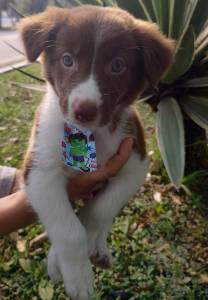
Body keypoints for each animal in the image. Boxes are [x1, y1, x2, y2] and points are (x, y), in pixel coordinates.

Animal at [18, 5, 174, 300]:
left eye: (117, 65)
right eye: (67, 59)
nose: (84, 111)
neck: (90, 135)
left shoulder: (136, 164)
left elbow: (98, 211)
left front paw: (76, 252)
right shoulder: (40, 170)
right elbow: (68, 230)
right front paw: (76, 276)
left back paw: (97, 249)